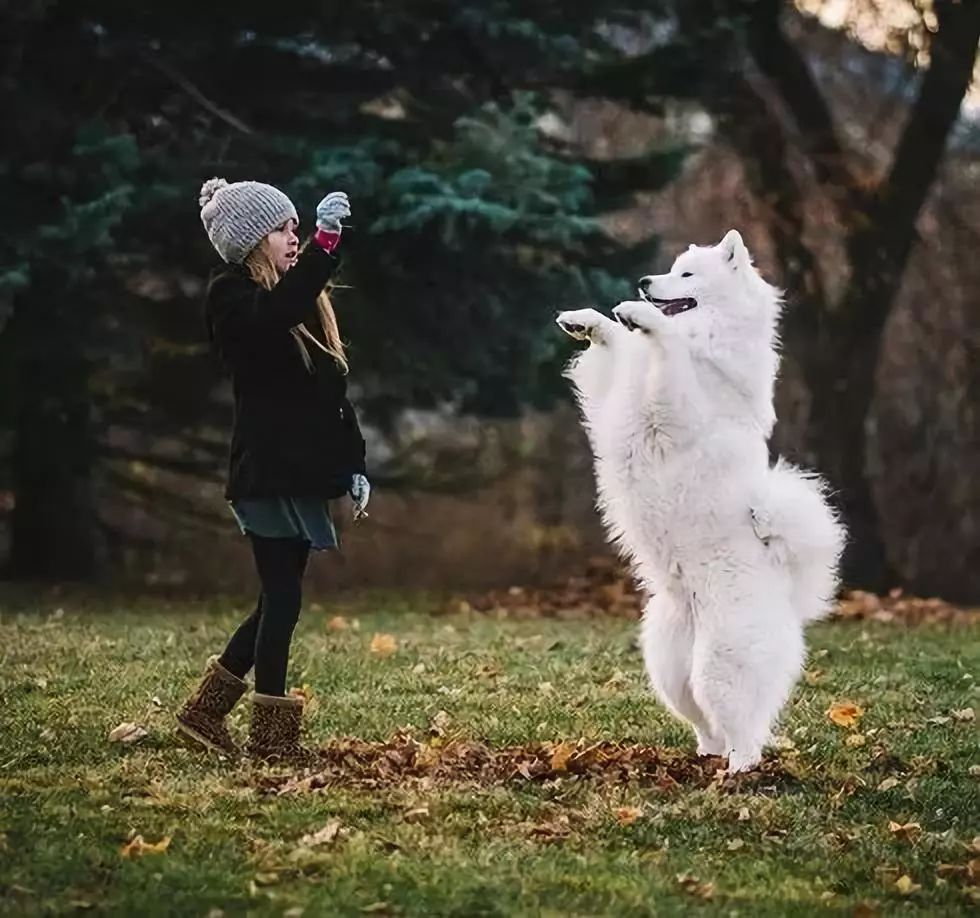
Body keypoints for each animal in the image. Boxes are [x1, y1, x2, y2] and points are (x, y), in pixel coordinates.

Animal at [556, 232, 848, 776]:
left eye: (687, 275)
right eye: (671, 269)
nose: (644, 282)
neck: (710, 351)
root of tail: (788, 593)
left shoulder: (673, 406)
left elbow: (665, 347)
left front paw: (639, 317)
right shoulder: (613, 395)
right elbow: (614, 346)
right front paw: (587, 319)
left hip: (721, 666)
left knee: (746, 733)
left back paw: (736, 775)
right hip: (670, 670)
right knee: (707, 724)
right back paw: (701, 760)